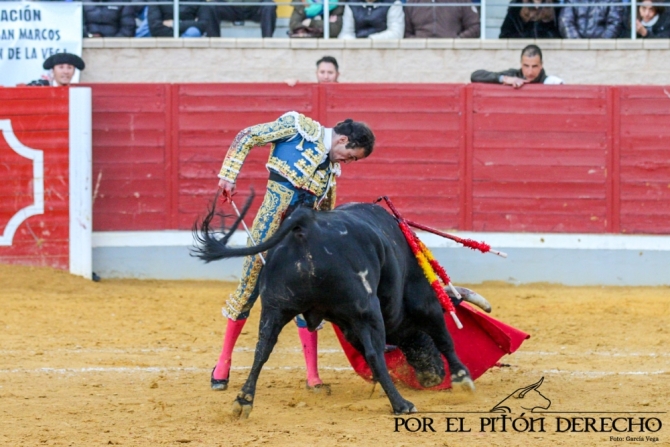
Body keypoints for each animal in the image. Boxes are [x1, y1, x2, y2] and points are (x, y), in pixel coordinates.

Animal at [194, 198, 478, 418]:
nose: (433, 377)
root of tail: (306, 225)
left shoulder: (348, 326)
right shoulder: (423, 302)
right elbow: (443, 337)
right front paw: (462, 378)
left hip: (275, 307)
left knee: (262, 350)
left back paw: (243, 401)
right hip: (367, 310)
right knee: (375, 353)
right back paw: (401, 404)